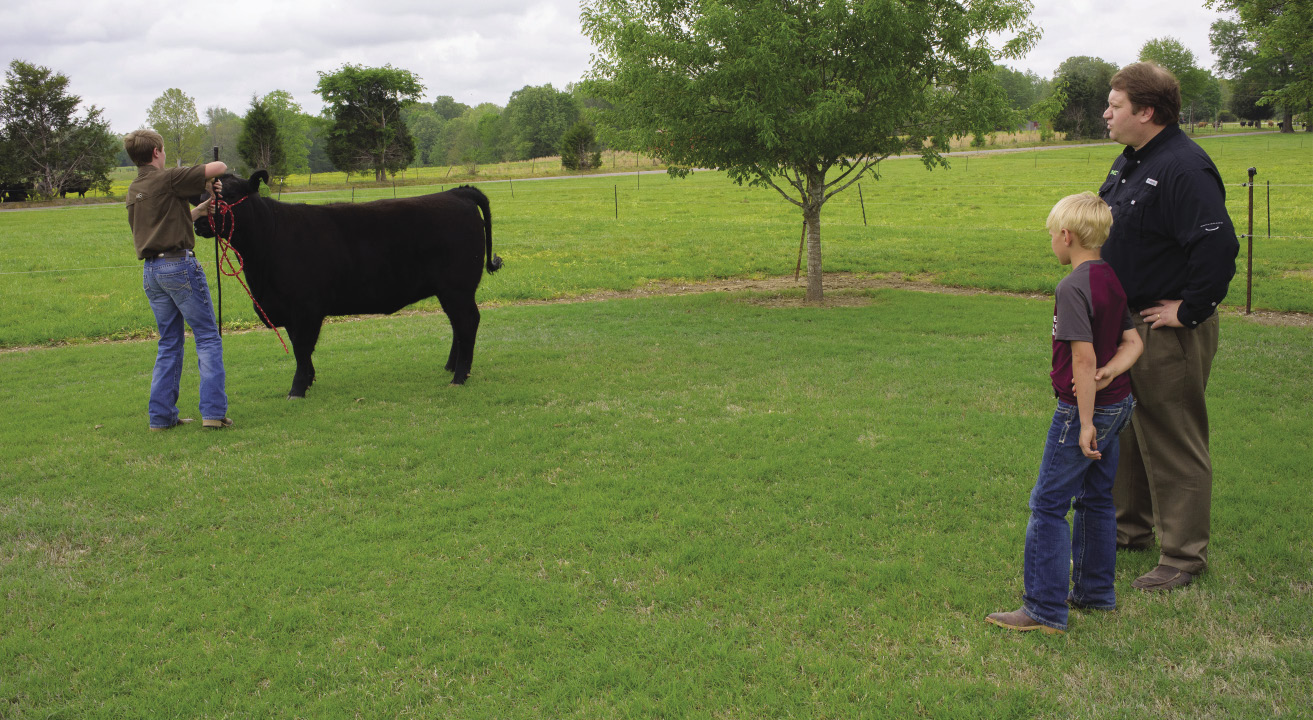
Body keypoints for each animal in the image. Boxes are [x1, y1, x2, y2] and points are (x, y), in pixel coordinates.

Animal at [193, 173, 501, 399]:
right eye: (201, 196)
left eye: (229, 195)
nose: (198, 222)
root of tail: (456, 193)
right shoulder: (289, 311)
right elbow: (299, 347)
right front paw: (309, 379)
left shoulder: (305, 308)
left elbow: (302, 348)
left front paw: (297, 389)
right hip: (450, 290)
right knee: (458, 325)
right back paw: (453, 367)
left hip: (457, 287)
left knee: (467, 322)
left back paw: (459, 376)